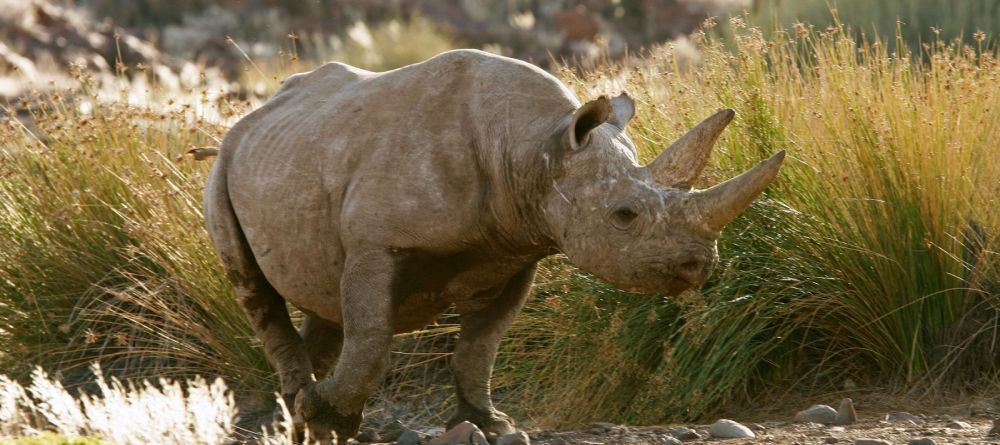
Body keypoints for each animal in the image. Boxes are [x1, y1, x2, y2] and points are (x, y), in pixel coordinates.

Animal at [203, 49, 784, 442]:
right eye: (624, 216)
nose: (698, 265)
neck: (538, 148)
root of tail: (250, 119)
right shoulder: (377, 244)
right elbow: (372, 340)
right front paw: (334, 420)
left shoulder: (517, 249)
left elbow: (481, 346)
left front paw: (491, 424)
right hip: (224, 167)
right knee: (254, 287)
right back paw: (308, 411)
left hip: (292, 155)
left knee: (323, 298)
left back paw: (300, 413)